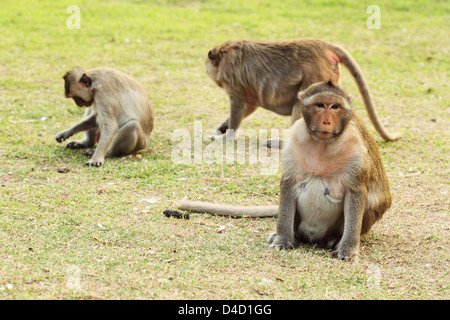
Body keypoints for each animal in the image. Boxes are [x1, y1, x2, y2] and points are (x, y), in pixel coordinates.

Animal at [176, 82, 390, 260]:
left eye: (335, 106)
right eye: (320, 105)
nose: (327, 122)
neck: (323, 145)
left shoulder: (356, 150)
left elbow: (357, 193)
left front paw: (347, 250)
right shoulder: (294, 139)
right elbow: (288, 183)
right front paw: (282, 240)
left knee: (370, 202)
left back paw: (334, 240)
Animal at [206, 37, 400, 142]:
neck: (224, 53)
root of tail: (325, 46)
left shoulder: (232, 77)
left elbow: (239, 104)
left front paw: (227, 136)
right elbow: (250, 105)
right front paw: (222, 127)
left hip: (316, 74)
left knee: (303, 101)